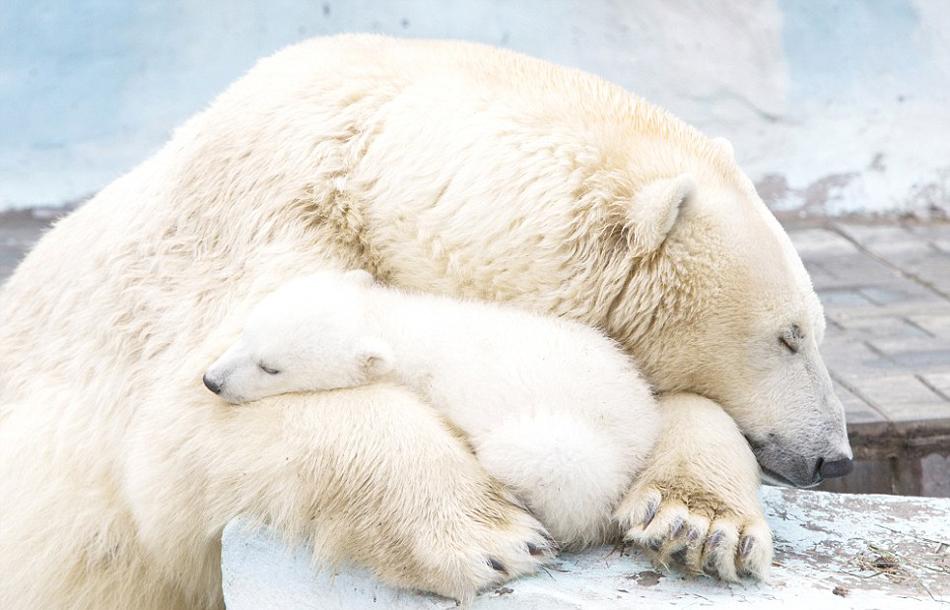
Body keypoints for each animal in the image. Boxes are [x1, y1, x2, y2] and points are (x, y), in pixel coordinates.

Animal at [0, 35, 848, 604]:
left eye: (814, 329)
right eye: (788, 336)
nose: (835, 457)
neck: (367, 158)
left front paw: (701, 526)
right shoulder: (245, 239)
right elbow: (180, 429)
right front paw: (491, 537)